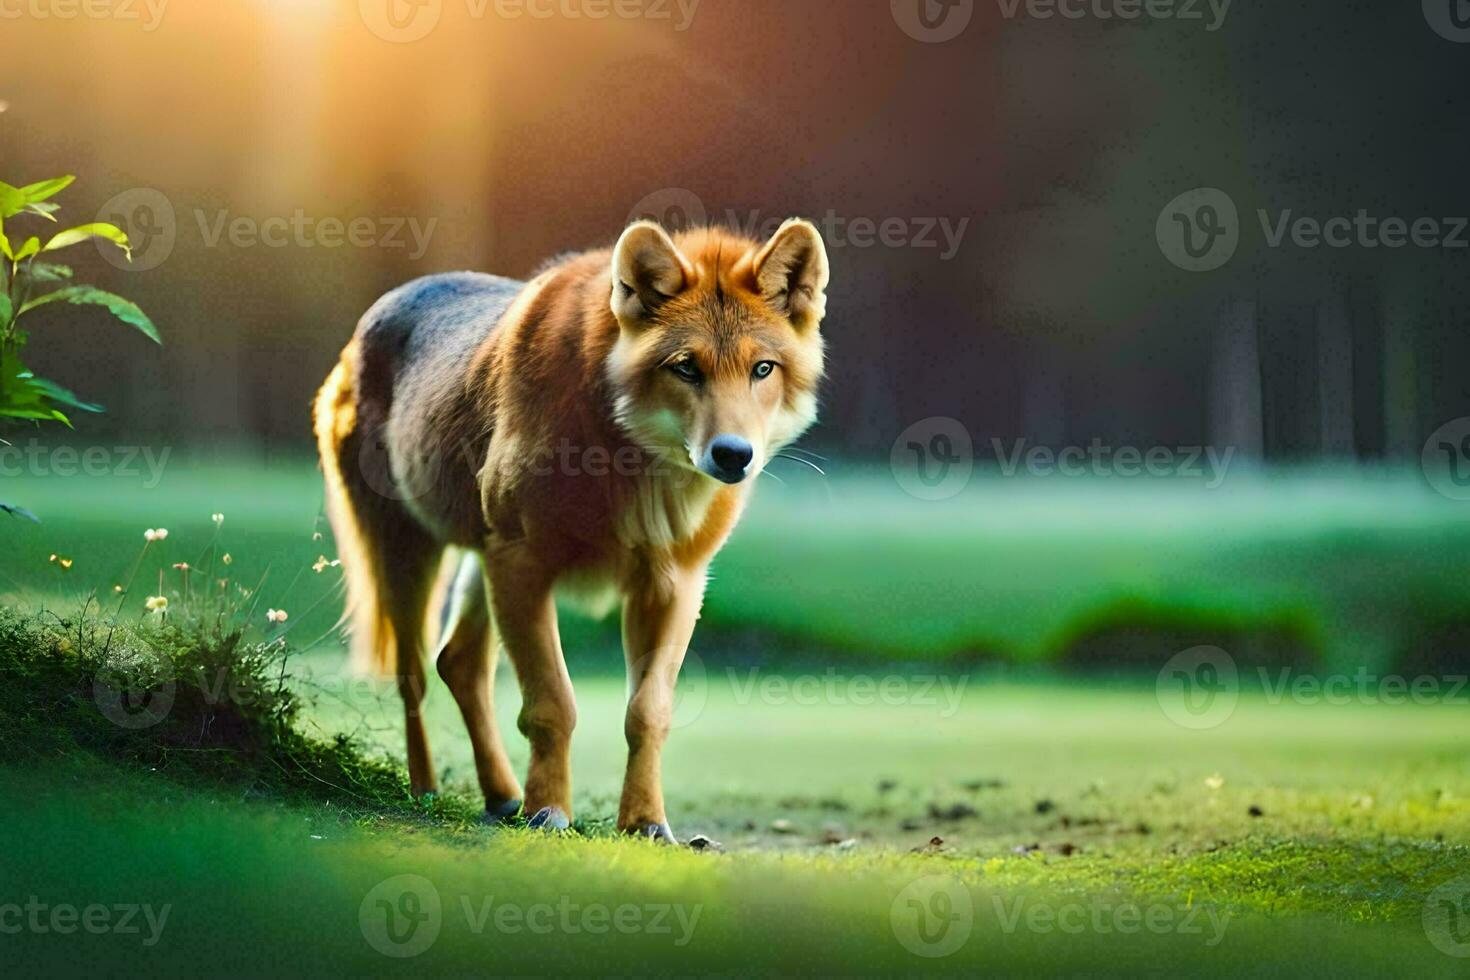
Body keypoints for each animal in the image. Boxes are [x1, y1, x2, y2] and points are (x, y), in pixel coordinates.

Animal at [310, 218, 829, 840]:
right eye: (686, 367)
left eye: (762, 369)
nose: (733, 456)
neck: (631, 464)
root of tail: (369, 321)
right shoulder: (523, 566)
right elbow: (551, 704)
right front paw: (549, 811)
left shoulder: (673, 585)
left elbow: (648, 712)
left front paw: (646, 822)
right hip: (411, 556)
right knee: (412, 676)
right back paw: (426, 792)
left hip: (479, 561)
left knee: (457, 663)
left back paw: (500, 795)